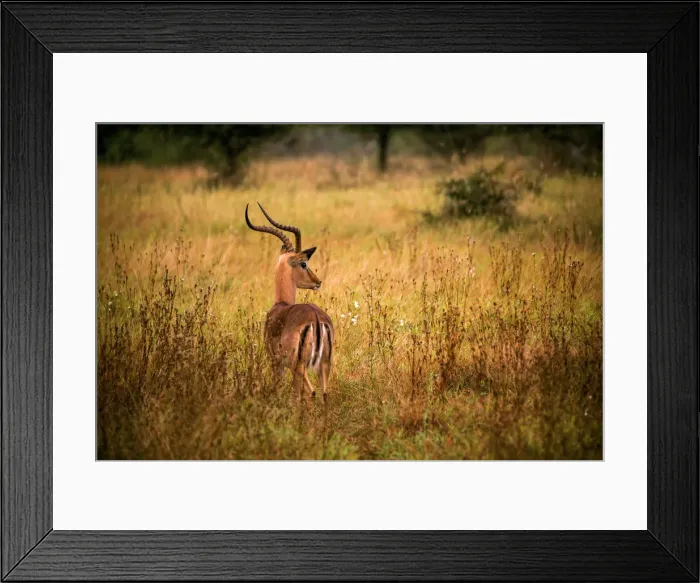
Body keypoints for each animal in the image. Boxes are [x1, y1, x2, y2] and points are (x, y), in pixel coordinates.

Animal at [245, 203, 334, 409]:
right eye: (304, 264)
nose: (318, 281)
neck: (281, 305)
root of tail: (316, 319)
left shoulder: (275, 362)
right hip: (324, 363)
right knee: (325, 394)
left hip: (298, 365)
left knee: (309, 393)